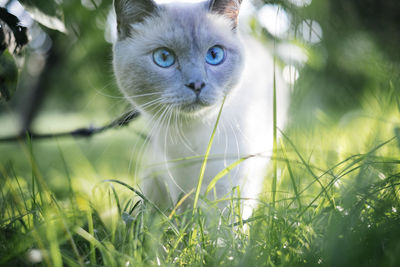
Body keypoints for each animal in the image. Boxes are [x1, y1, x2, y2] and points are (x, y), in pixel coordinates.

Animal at [112, 0, 290, 218]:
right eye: (164, 57)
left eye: (214, 55)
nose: (196, 84)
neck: (193, 135)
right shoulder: (177, 182)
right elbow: (184, 217)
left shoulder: (233, 178)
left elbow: (226, 221)